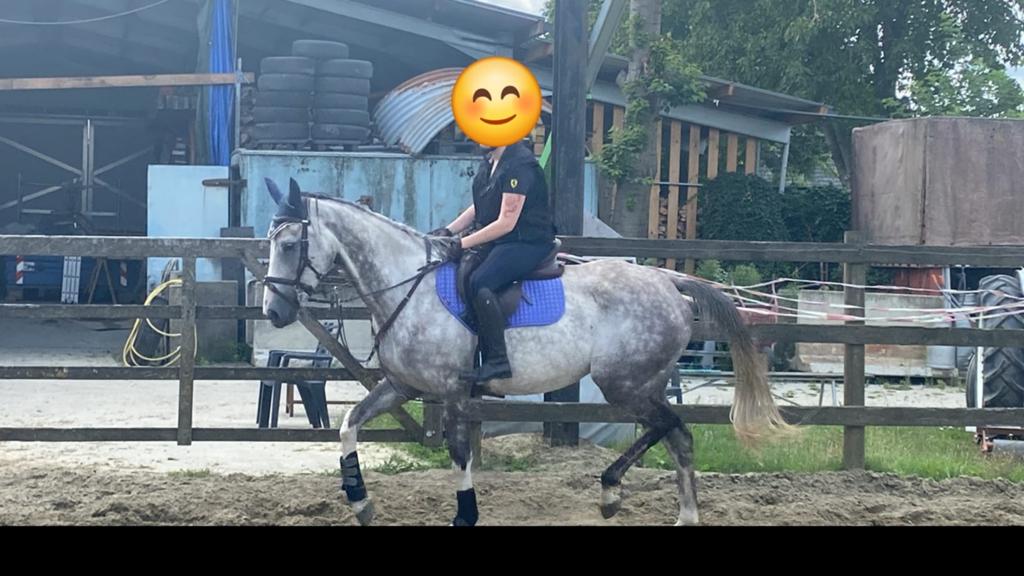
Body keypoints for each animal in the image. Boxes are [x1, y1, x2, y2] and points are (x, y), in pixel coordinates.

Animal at [260, 178, 790, 526]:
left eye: (289, 244)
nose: (274, 312)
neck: (410, 286)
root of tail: (670, 283)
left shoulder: (453, 392)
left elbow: (458, 453)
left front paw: (465, 516)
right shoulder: (401, 385)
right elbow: (348, 427)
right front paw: (360, 501)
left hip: (624, 384)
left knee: (671, 428)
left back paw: (616, 493)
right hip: (644, 383)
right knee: (676, 436)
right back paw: (664, 510)